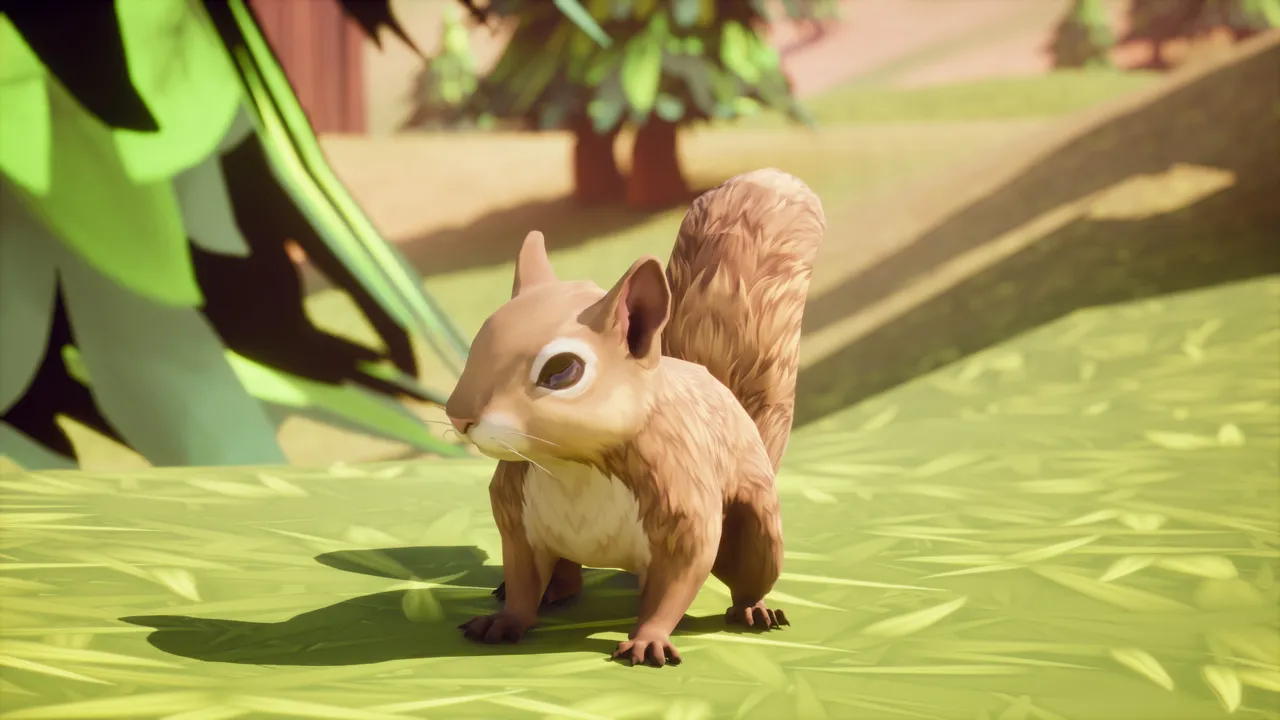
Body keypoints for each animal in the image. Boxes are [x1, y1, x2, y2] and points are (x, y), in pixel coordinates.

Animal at [444, 168, 825, 667]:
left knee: (749, 573)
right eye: (480, 339)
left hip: (757, 526)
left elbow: (678, 579)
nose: (457, 415)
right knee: (565, 573)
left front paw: (649, 639)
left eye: (561, 371)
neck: (572, 464)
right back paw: (548, 591)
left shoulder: (682, 499)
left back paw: (754, 610)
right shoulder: (516, 516)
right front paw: (507, 619)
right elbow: (524, 575)